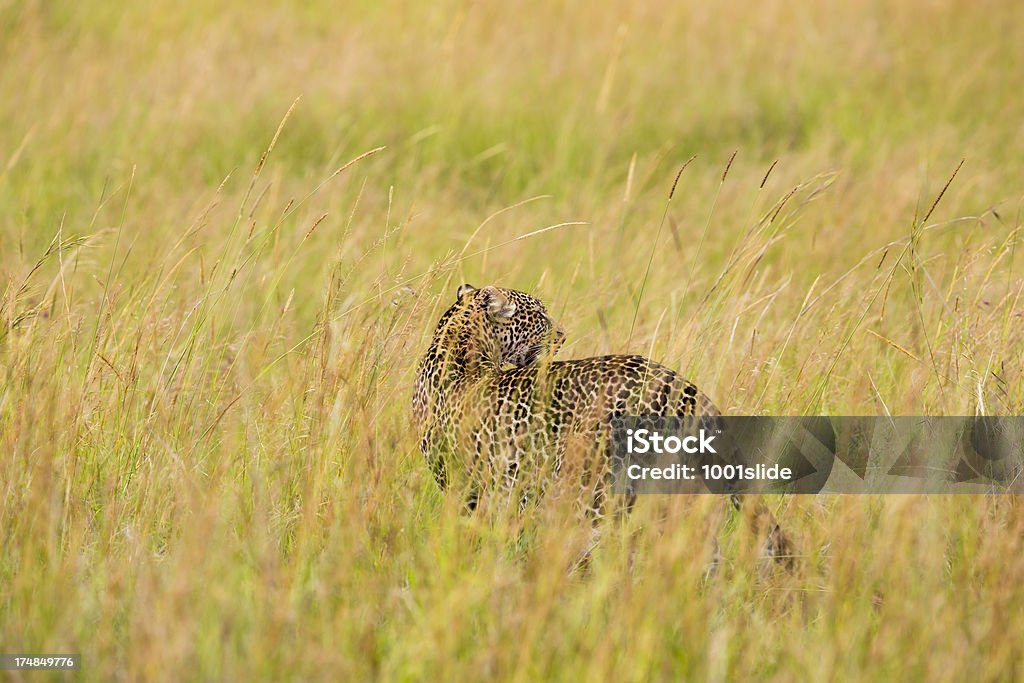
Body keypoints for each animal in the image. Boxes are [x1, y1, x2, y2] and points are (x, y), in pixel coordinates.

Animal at [411, 284, 794, 573]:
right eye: (540, 318)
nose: (563, 336)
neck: (458, 346)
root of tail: (680, 384)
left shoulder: (471, 487)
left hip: (592, 490)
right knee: (700, 550)